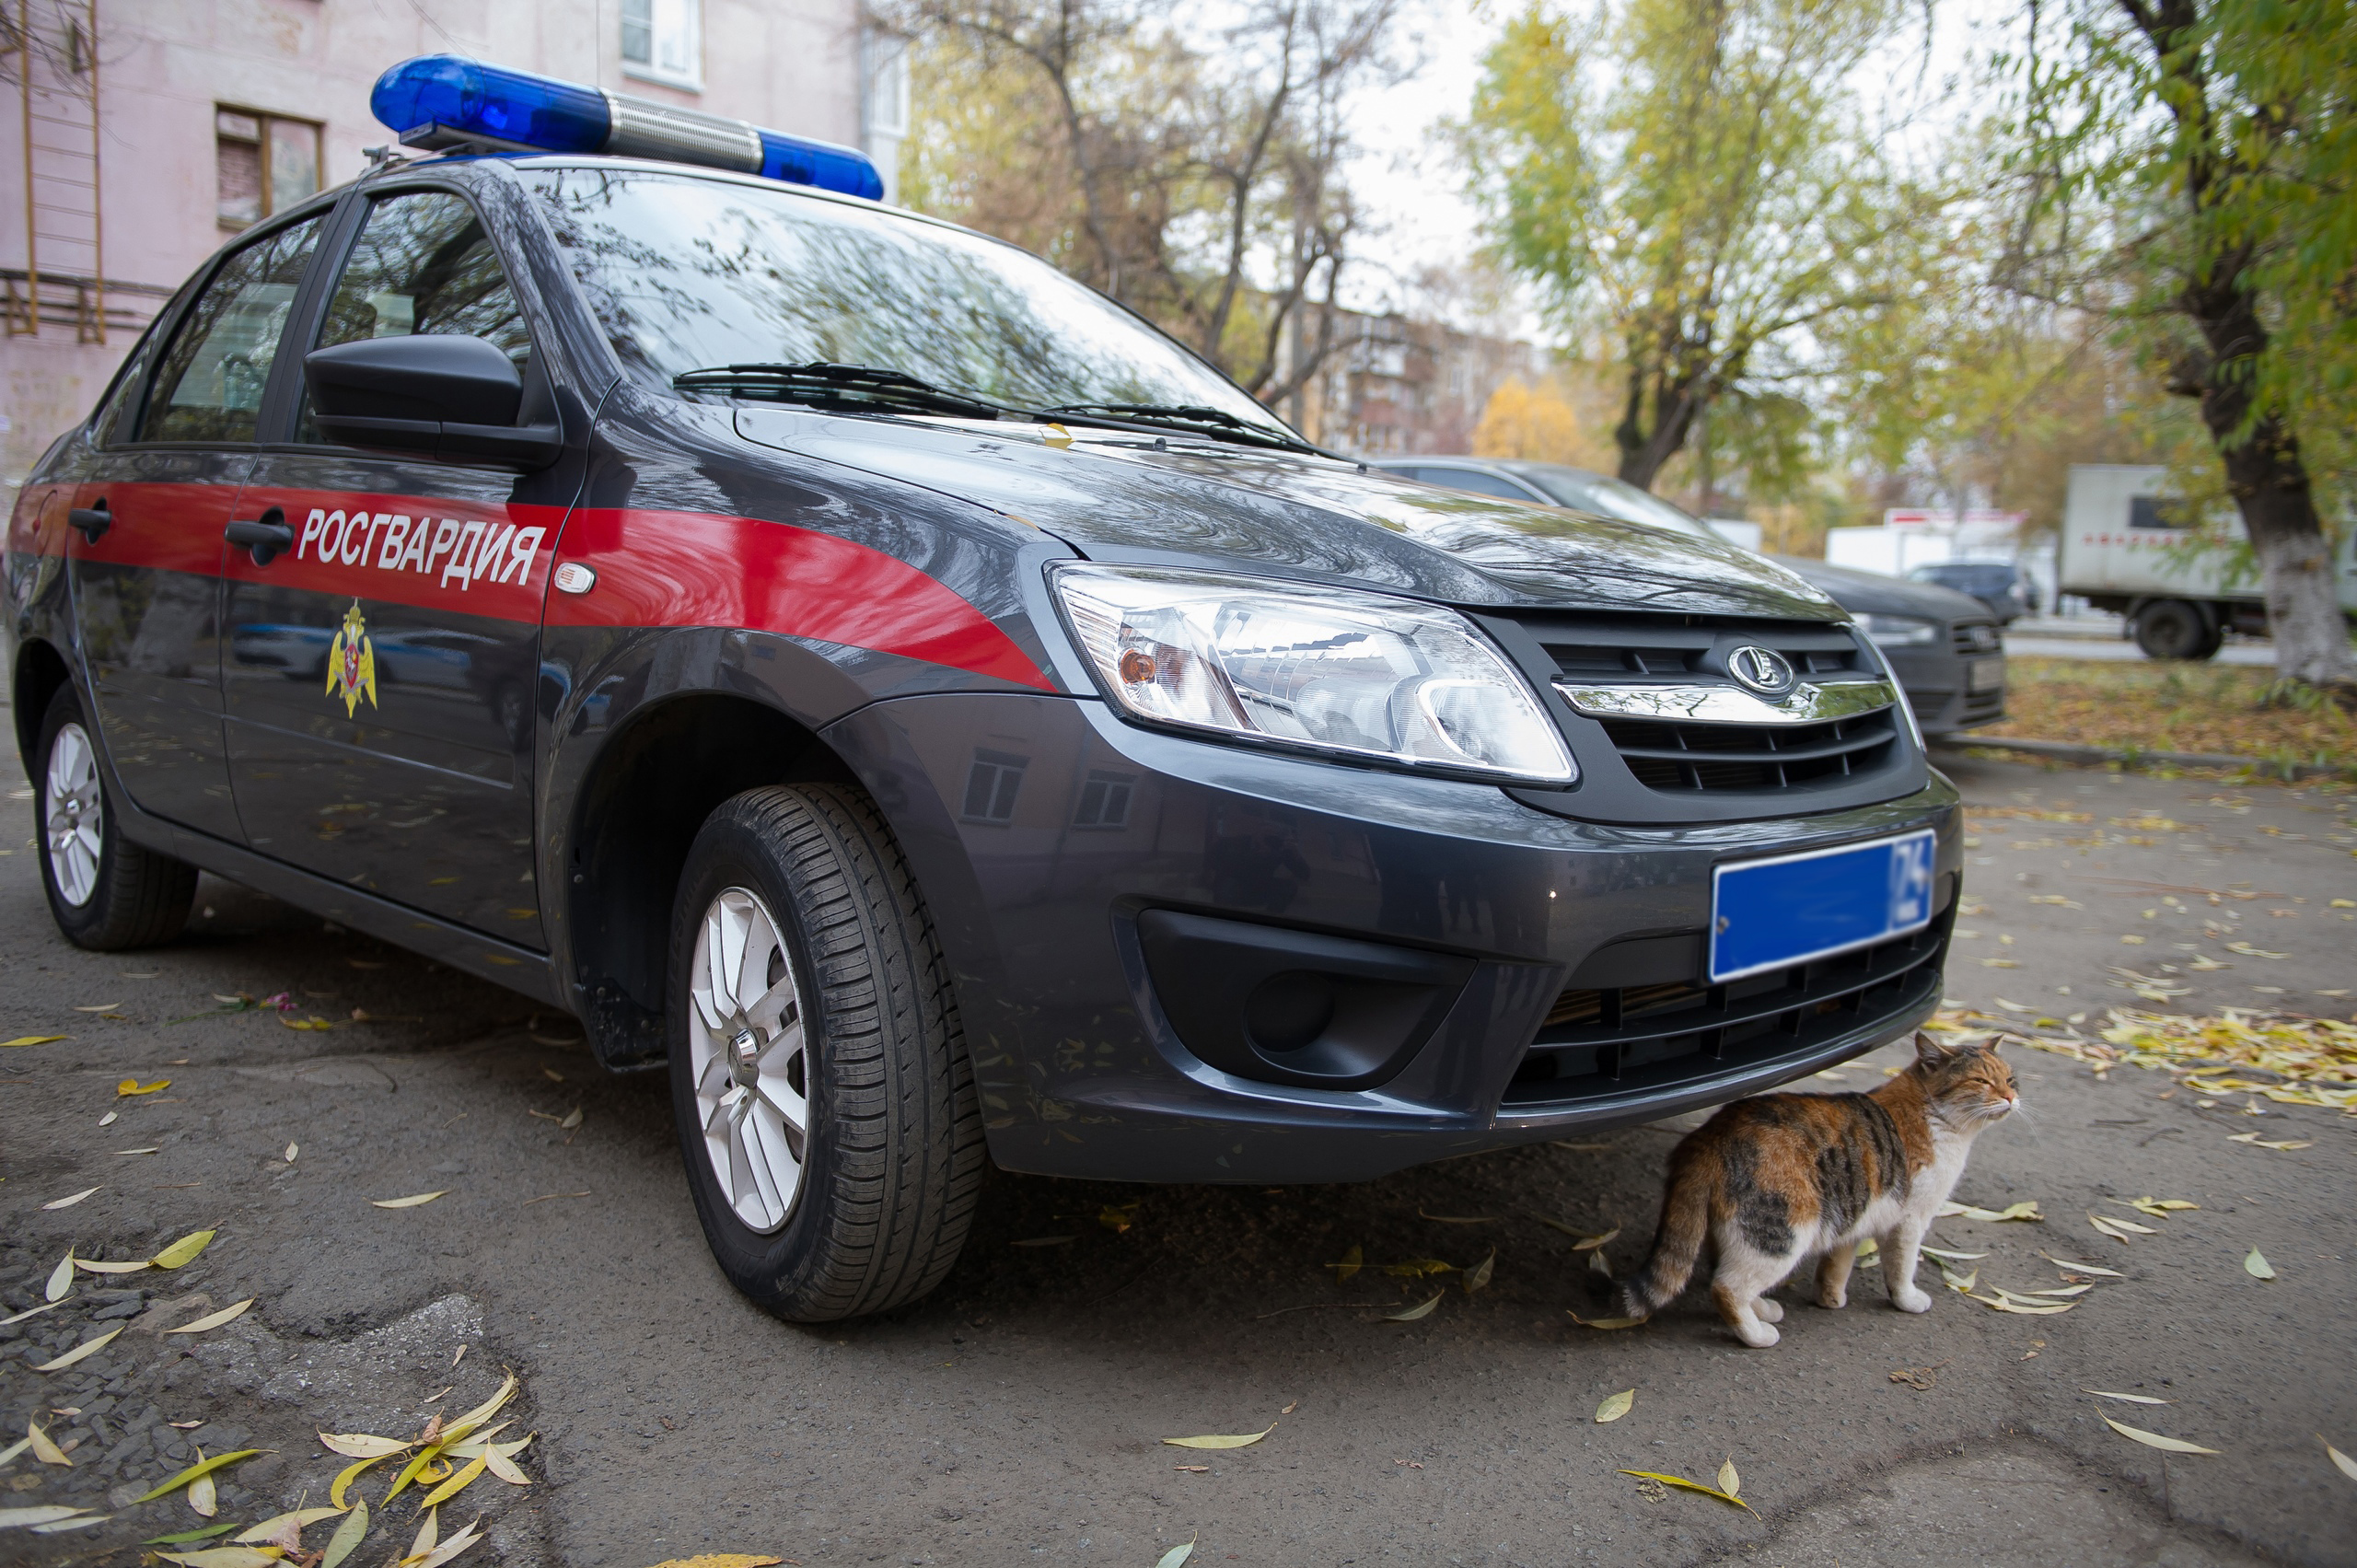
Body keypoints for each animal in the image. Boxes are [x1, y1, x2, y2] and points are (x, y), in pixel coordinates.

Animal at [1621, 1028, 2026, 1348]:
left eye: (2010, 1080)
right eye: (1981, 1082)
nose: (2011, 1098)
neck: (1937, 1117)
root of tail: (1706, 1137)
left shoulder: (1854, 1215)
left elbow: (1838, 1262)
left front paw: (1830, 1298)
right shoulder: (1909, 1221)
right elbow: (1901, 1267)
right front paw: (1907, 1300)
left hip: (1742, 1230)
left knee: (1726, 1273)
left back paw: (1763, 1309)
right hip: (1784, 1232)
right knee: (1726, 1287)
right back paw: (1756, 1335)